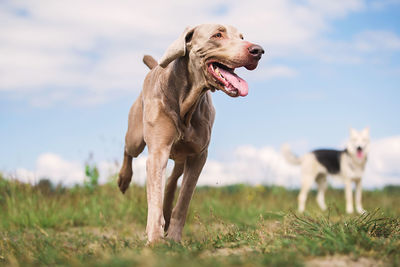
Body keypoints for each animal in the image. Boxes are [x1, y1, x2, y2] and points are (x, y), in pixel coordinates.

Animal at [117, 24, 264, 244]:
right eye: (217, 35)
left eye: (241, 37)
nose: (258, 50)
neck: (186, 101)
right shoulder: (158, 151)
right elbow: (154, 197)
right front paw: (155, 239)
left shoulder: (198, 155)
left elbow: (184, 199)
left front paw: (174, 237)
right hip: (136, 136)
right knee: (129, 150)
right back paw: (124, 179)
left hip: (180, 155)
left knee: (172, 180)